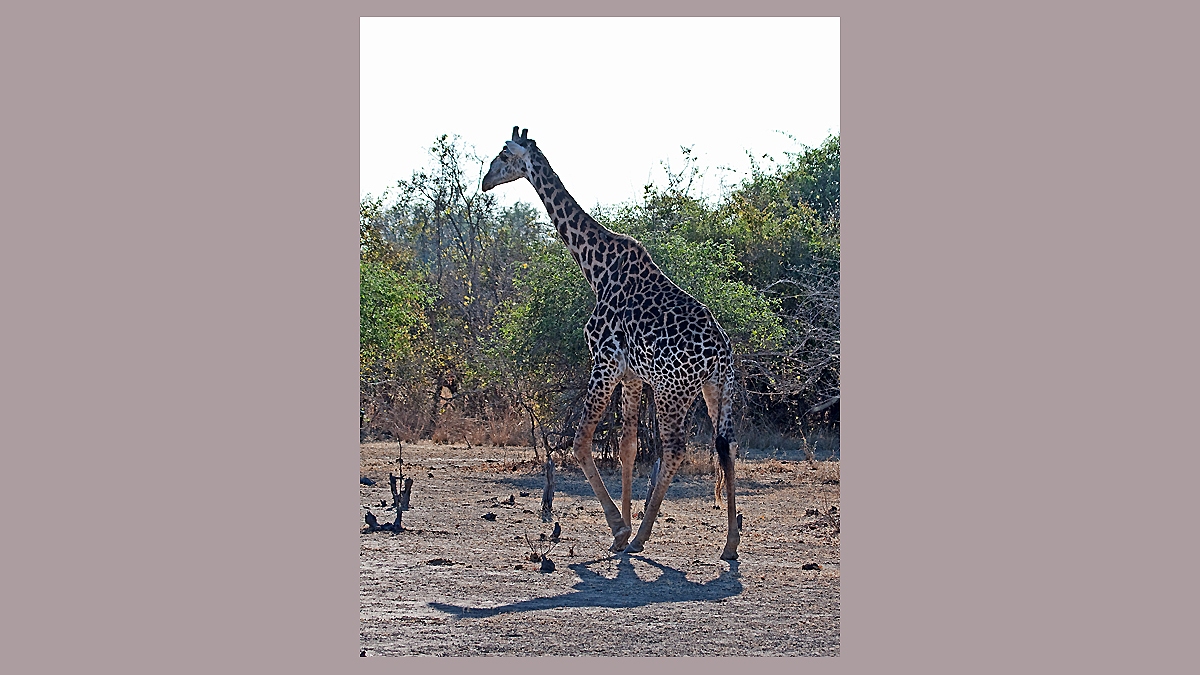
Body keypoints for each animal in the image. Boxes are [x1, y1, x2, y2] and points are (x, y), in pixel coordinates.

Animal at [482, 127, 740, 560]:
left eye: (503, 153)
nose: (485, 181)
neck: (596, 268)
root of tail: (722, 357)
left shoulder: (604, 362)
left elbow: (581, 442)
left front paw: (620, 530)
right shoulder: (633, 374)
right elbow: (627, 447)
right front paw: (623, 524)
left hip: (673, 391)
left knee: (675, 450)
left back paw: (641, 537)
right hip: (715, 390)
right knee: (727, 446)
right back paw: (731, 543)